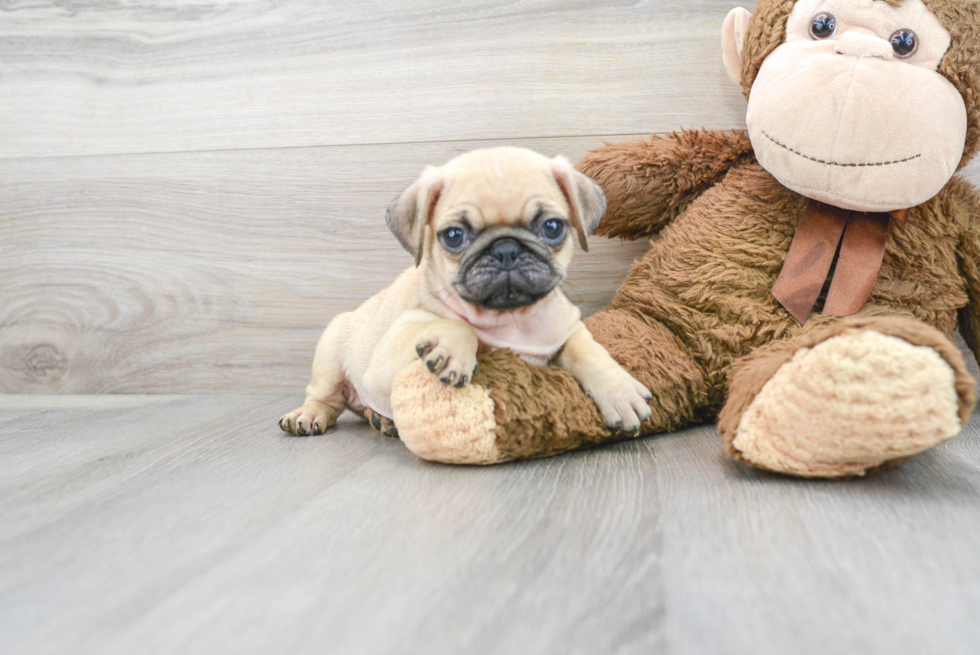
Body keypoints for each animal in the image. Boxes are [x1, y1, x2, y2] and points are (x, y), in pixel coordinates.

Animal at [280, 149, 656, 440]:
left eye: (552, 228)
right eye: (454, 236)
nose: (506, 249)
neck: (510, 320)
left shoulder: (567, 328)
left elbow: (589, 351)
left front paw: (619, 390)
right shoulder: (386, 358)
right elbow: (454, 325)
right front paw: (453, 349)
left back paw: (381, 419)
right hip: (330, 354)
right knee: (327, 398)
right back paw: (308, 416)